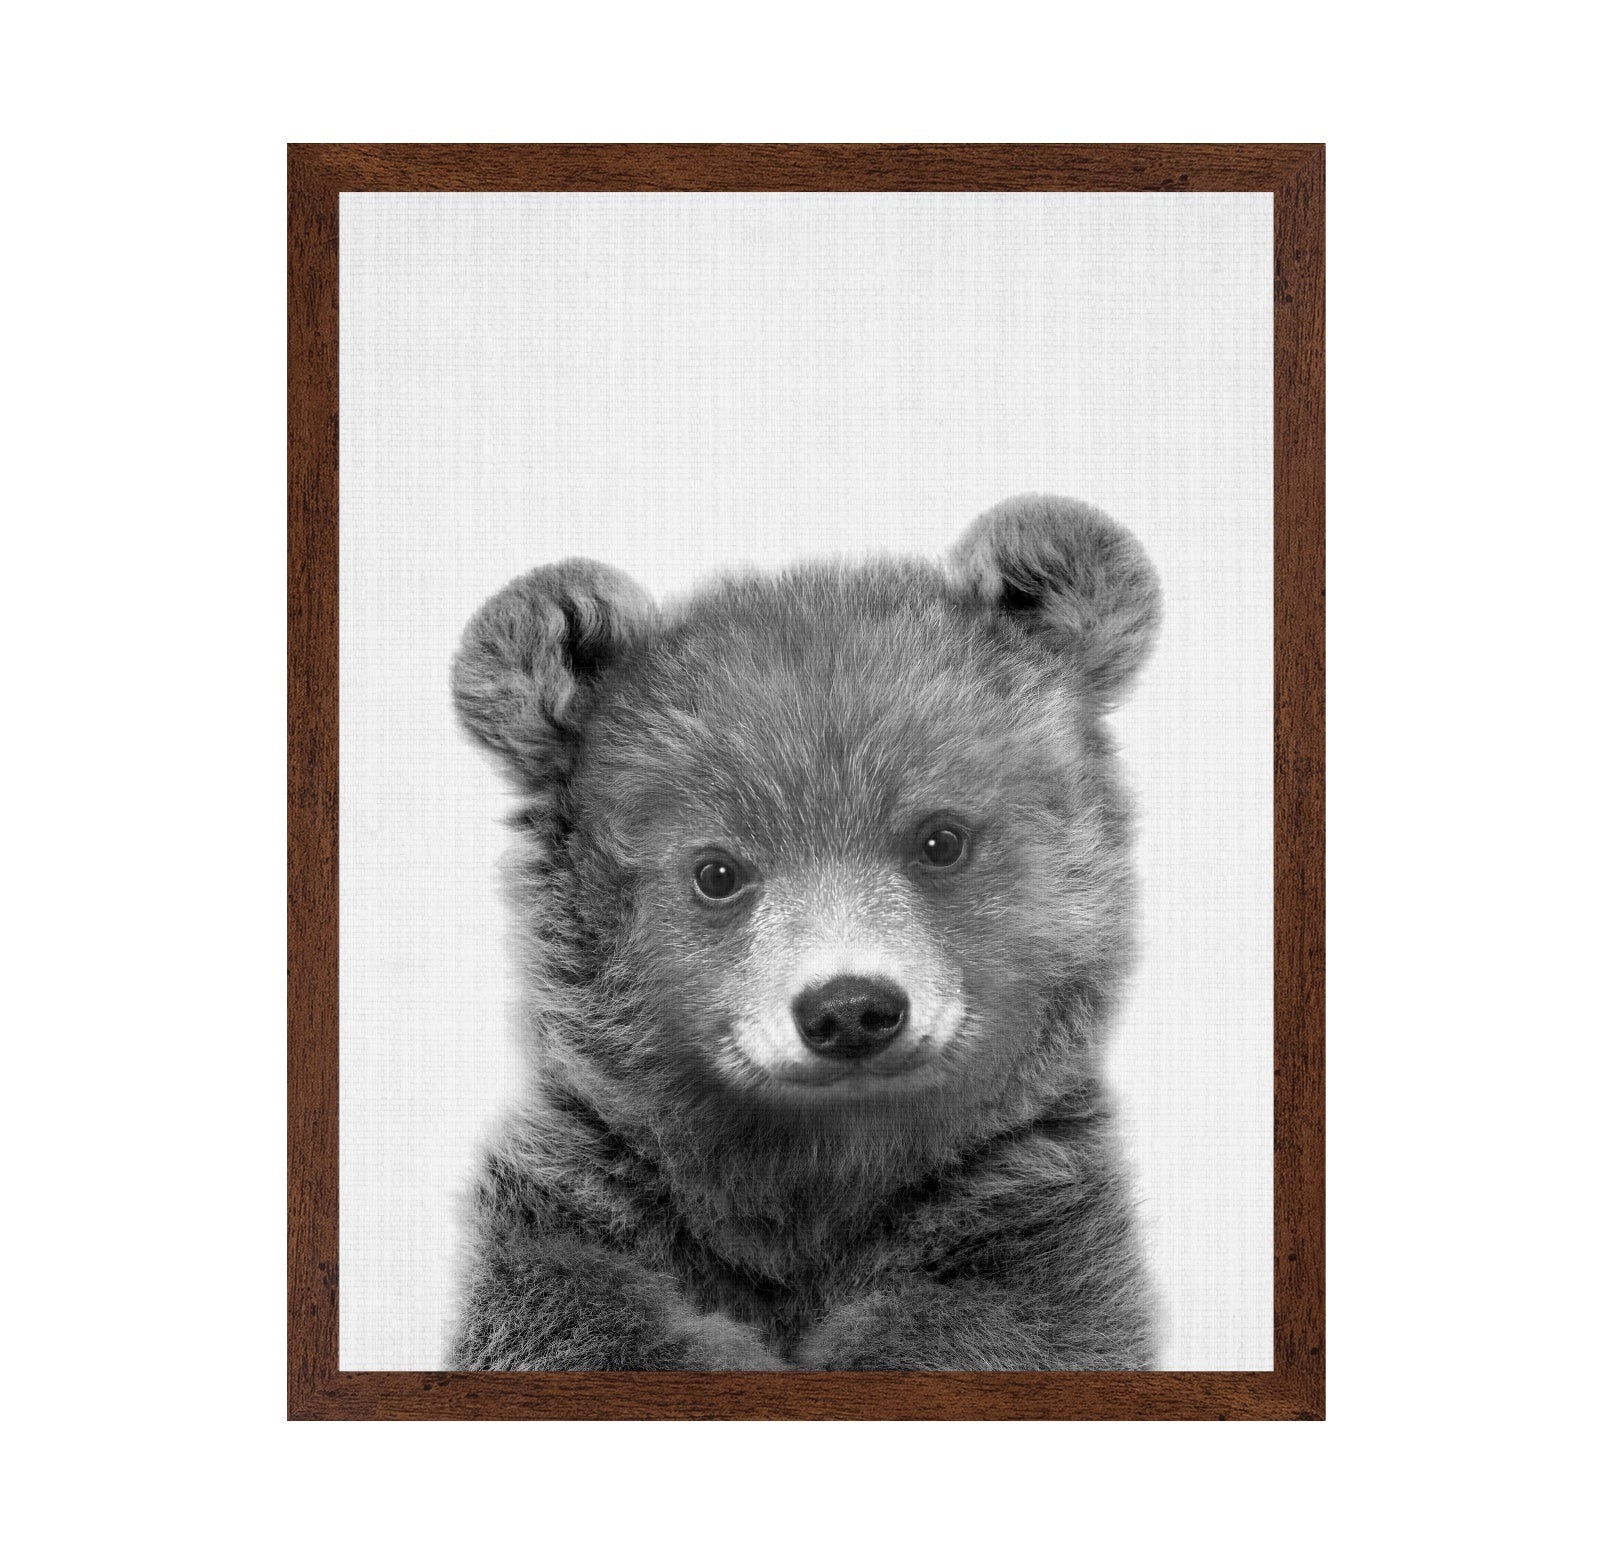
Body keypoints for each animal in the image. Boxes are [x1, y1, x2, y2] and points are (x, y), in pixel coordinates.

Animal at [448, 494, 1161, 1371]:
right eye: (717, 870)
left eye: (941, 838)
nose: (850, 1009)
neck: (815, 1176)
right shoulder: (587, 1207)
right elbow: (576, 1312)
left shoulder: (1025, 1227)